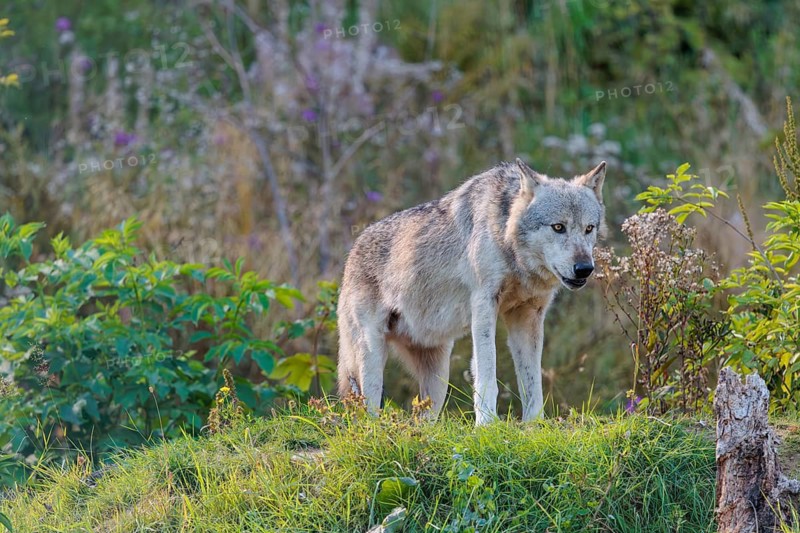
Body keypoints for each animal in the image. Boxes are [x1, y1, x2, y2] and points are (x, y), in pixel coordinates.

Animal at [337, 159, 607, 424]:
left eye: (589, 228)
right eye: (558, 227)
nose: (584, 269)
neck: (506, 238)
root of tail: (352, 252)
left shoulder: (528, 315)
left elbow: (532, 383)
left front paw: (534, 424)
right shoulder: (484, 306)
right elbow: (488, 374)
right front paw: (486, 424)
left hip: (438, 374)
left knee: (425, 417)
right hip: (372, 356)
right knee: (368, 406)